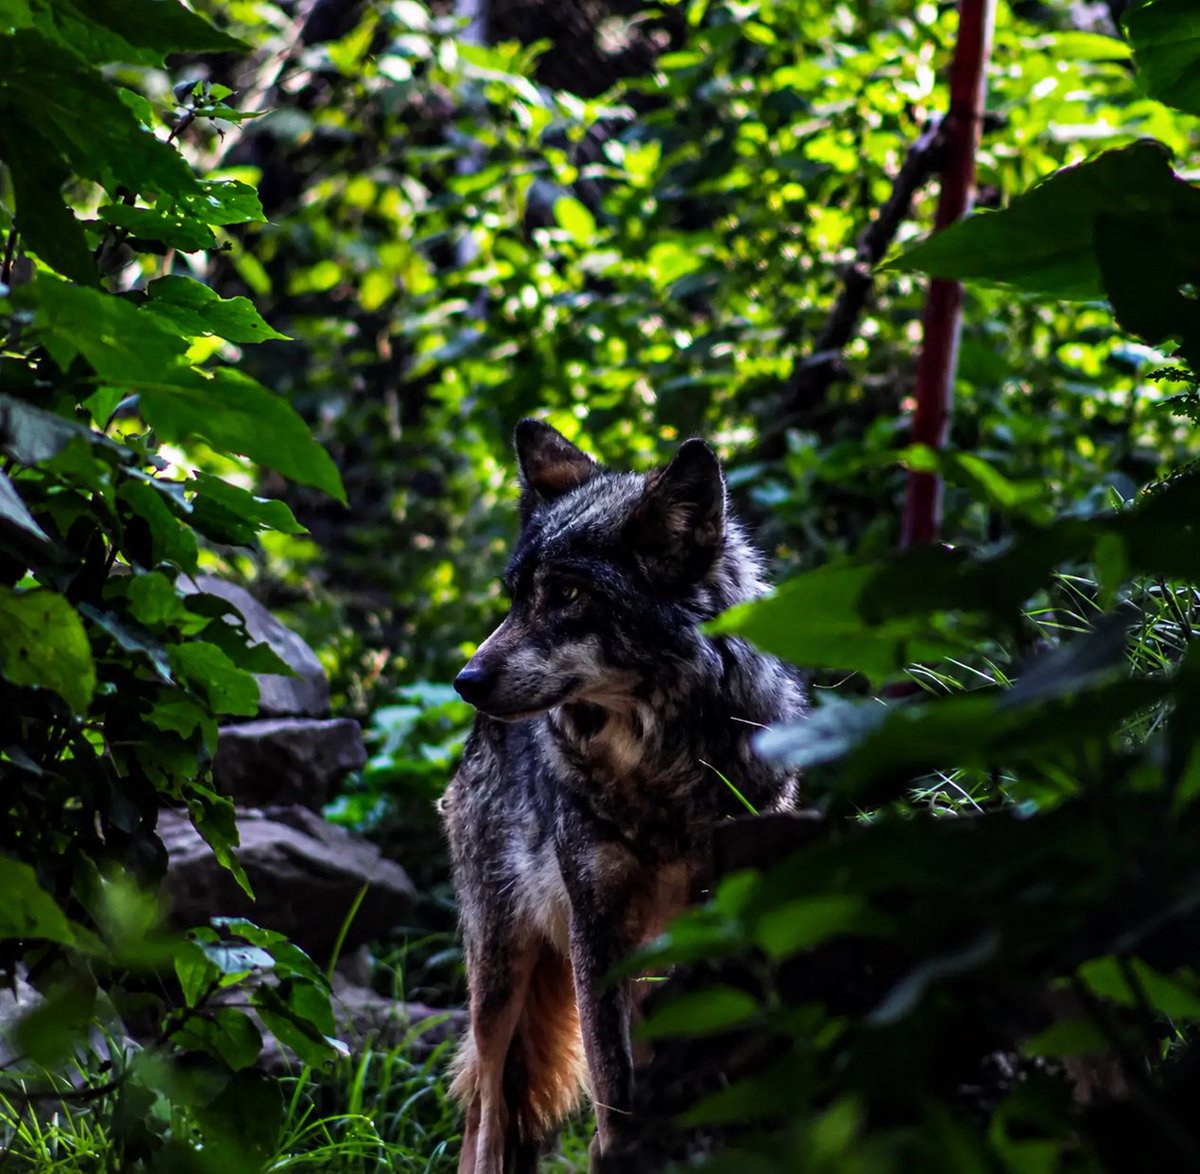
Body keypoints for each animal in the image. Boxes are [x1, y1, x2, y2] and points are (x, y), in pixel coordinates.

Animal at [439, 420, 806, 1174]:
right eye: (515, 596)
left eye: (569, 596)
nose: (466, 681)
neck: (658, 770)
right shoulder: (597, 929)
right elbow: (613, 1088)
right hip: (501, 973)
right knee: (484, 1118)